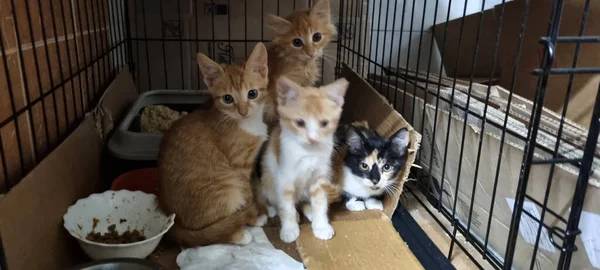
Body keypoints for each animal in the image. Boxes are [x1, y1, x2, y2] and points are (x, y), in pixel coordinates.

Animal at [159, 43, 272, 248]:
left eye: (252, 93)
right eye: (227, 98)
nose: (243, 111)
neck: (245, 123)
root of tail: (175, 223)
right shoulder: (239, 167)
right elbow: (247, 195)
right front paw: (253, 217)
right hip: (227, 187)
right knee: (209, 232)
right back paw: (239, 235)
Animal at [260, 75, 350, 243]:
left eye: (324, 123)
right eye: (300, 123)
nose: (313, 139)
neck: (308, 153)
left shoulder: (320, 177)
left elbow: (320, 202)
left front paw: (321, 225)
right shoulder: (284, 179)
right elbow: (286, 207)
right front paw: (289, 228)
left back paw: (309, 211)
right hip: (268, 180)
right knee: (278, 202)